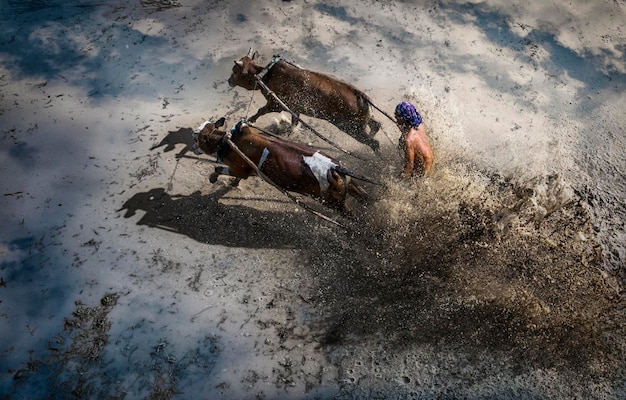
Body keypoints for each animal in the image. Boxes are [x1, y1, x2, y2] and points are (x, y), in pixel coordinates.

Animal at [193, 117, 368, 212]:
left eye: (196, 137)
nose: (193, 148)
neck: (227, 141)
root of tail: (334, 167)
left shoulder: (238, 168)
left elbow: (217, 168)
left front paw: (213, 178)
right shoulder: (246, 171)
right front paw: (233, 183)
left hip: (335, 203)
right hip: (350, 187)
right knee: (366, 198)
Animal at [225, 49, 380, 151]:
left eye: (235, 70)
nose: (229, 81)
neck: (265, 74)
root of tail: (361, 95)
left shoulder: (275, 104)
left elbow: (260, 110)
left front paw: (251, 120)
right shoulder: (295, 109)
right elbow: (294, 122)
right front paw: (289, 133)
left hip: (350, 128)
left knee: (374, 143)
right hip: (361, 123)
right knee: (376, 125)